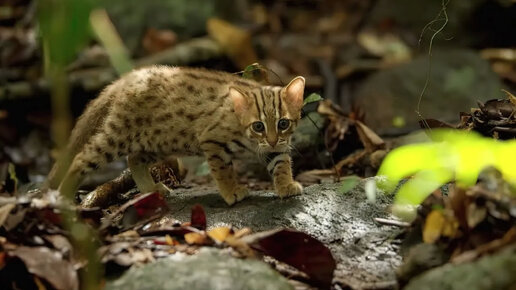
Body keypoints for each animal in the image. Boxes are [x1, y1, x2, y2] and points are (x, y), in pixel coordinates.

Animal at [46, 66, 304, 205]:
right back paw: (64, 196)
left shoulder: (278, 147)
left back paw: (151, 189)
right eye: (258, 126)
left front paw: (286, 185)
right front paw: (232, 191)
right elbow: (223, 171)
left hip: (159, 141)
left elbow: (281, 163)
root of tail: (128, 77)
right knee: (81, 158)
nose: (271, 139)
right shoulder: (212, 141)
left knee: (134, 159)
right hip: (117, 137)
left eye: (283, 123)